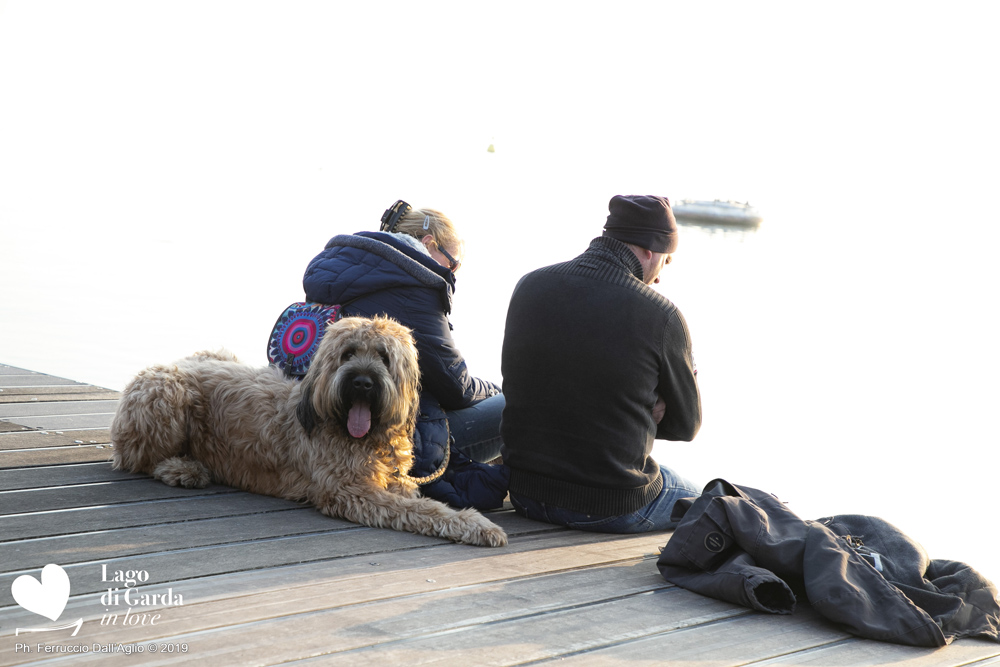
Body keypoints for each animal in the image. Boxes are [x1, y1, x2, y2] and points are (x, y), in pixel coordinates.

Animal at [111, 314, 508, 548]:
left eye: (384, 356)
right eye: (348, 353)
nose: (362, 383)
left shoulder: (392, 480)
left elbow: (417, 500)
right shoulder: (350, 490)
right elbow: (422, 510)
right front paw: (475, 524)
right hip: (167, 392)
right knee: (137, 457)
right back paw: (181, 468)